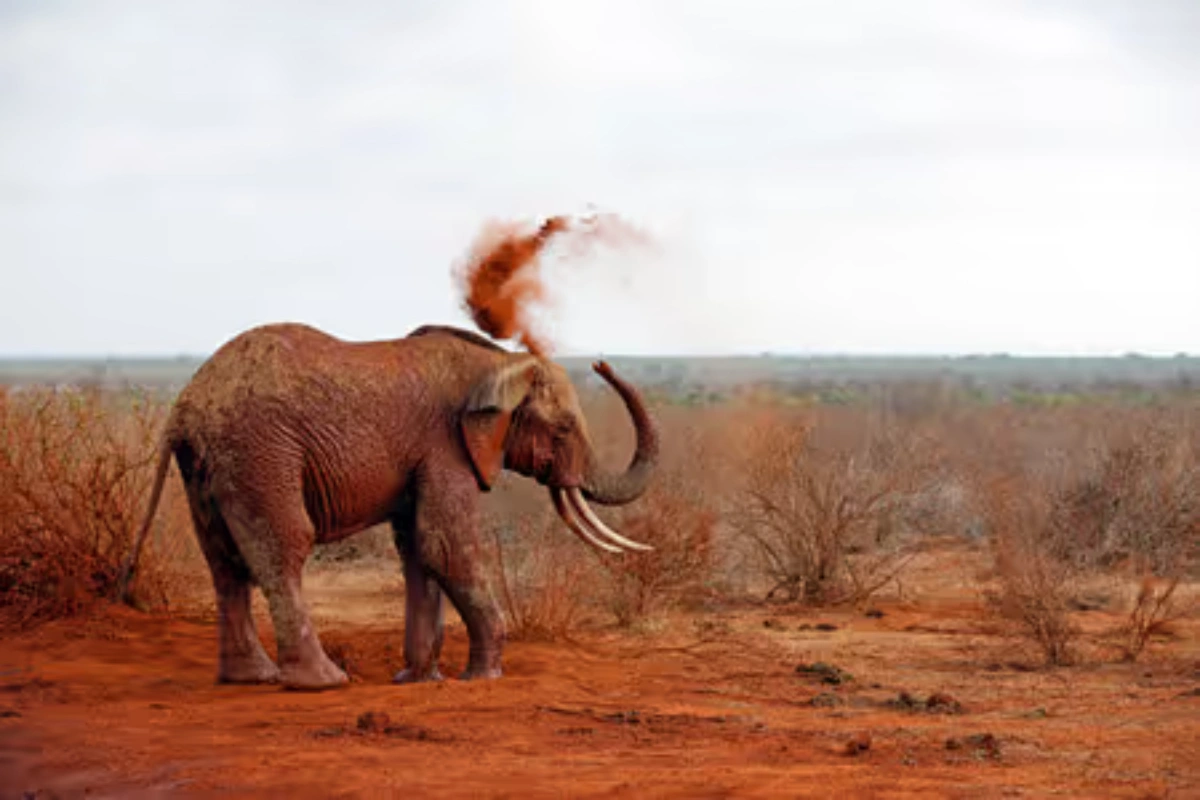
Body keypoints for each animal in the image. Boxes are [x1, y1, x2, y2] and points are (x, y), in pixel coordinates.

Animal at [115, 321, 658, 690]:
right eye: (563, 429)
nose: (602, 363)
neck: (498, 362)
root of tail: (185, 405)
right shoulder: (445, 446)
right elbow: (446, 545)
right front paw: (484, 677)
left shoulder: (423, 456)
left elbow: (419, 549)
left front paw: (419, 679)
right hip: (259, 452)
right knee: (282, 549)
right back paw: (323, 682)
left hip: (206, 464)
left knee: (223, 562)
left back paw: (252, 678)